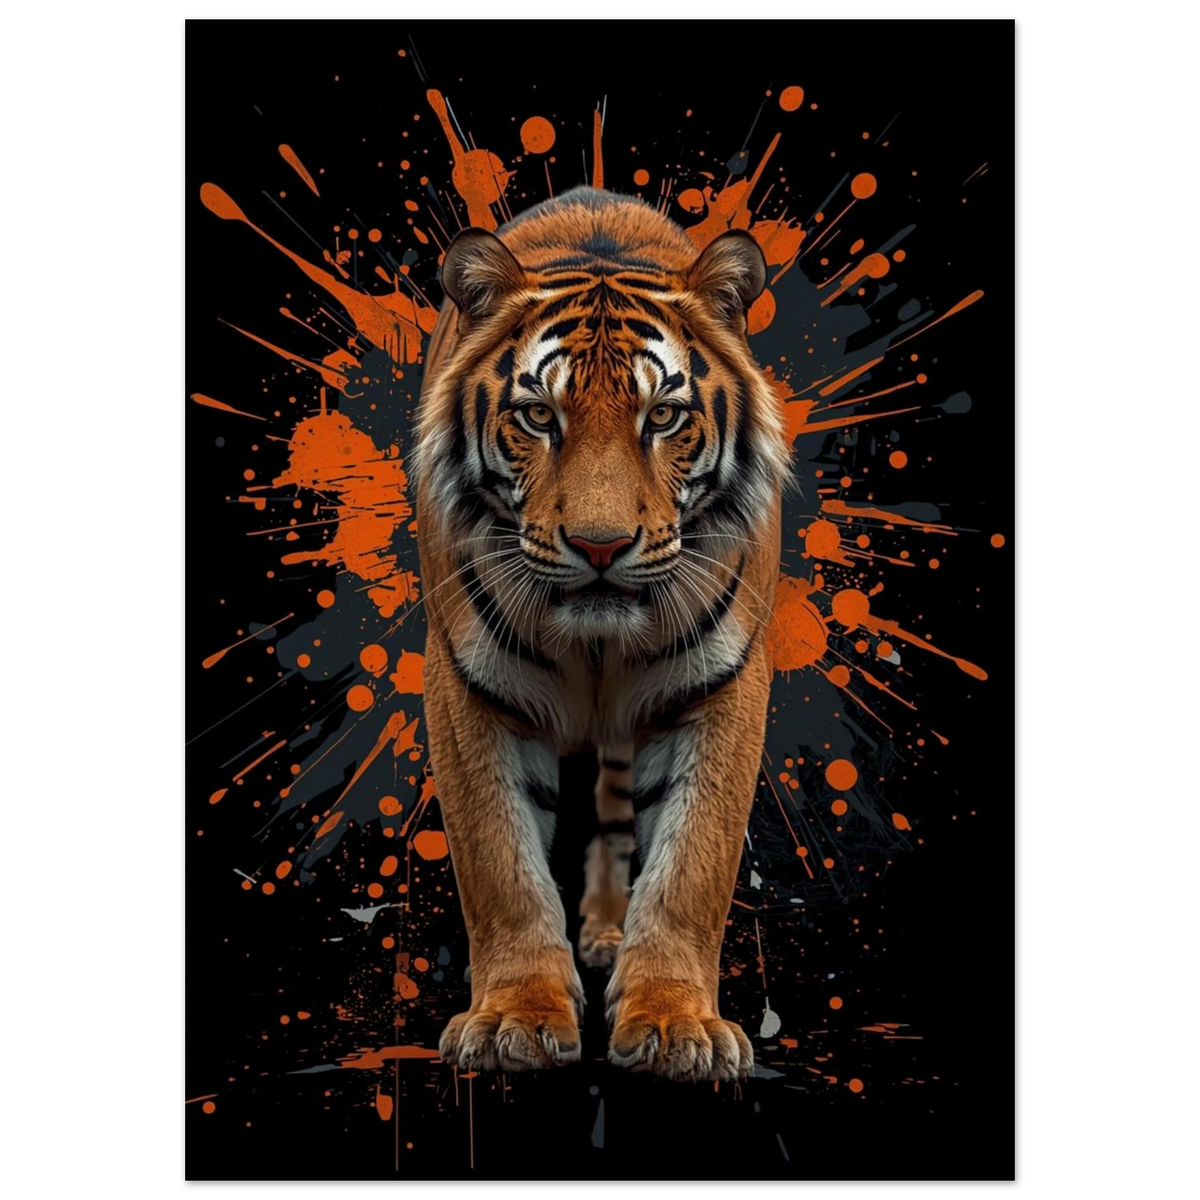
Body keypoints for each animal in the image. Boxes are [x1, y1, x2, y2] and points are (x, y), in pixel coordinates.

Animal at [413, 186, 790, 1082]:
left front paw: (675, 1025)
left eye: (665, 417)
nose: (599, 545)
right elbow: (500, 862)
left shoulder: (725, 683)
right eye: (536, 416)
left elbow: (692, 864)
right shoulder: (464, 683)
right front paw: (513, 1020)